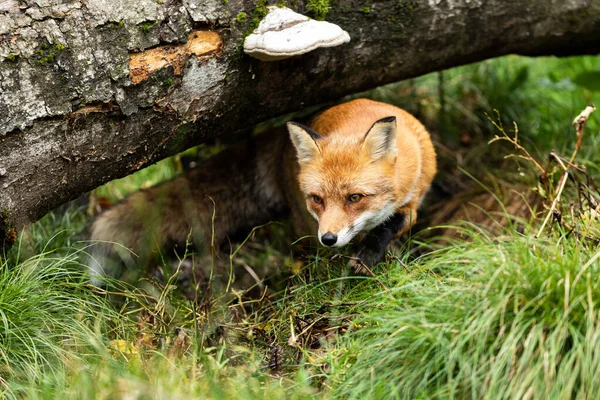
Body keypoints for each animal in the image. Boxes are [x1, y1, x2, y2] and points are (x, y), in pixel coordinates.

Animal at [88, 99, 436, 282]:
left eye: (355, 198)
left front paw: (369, 253)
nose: (329, 238)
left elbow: (390, 225)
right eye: (318, 199)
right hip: (302, 225)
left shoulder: (412, 199)